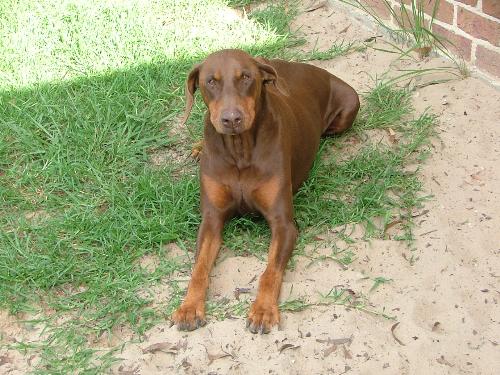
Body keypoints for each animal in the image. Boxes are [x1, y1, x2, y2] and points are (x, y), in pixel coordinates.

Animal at [172, 48, 360, 334]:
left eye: (246, 77)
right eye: (211, 81)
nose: (231, 119)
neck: (240, 149)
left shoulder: (283, 223)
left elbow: (270, 271)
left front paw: (263, 310)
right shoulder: (212, 218)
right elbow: (200, 267)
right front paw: (189, 306)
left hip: (350, 104)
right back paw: (198, 147)